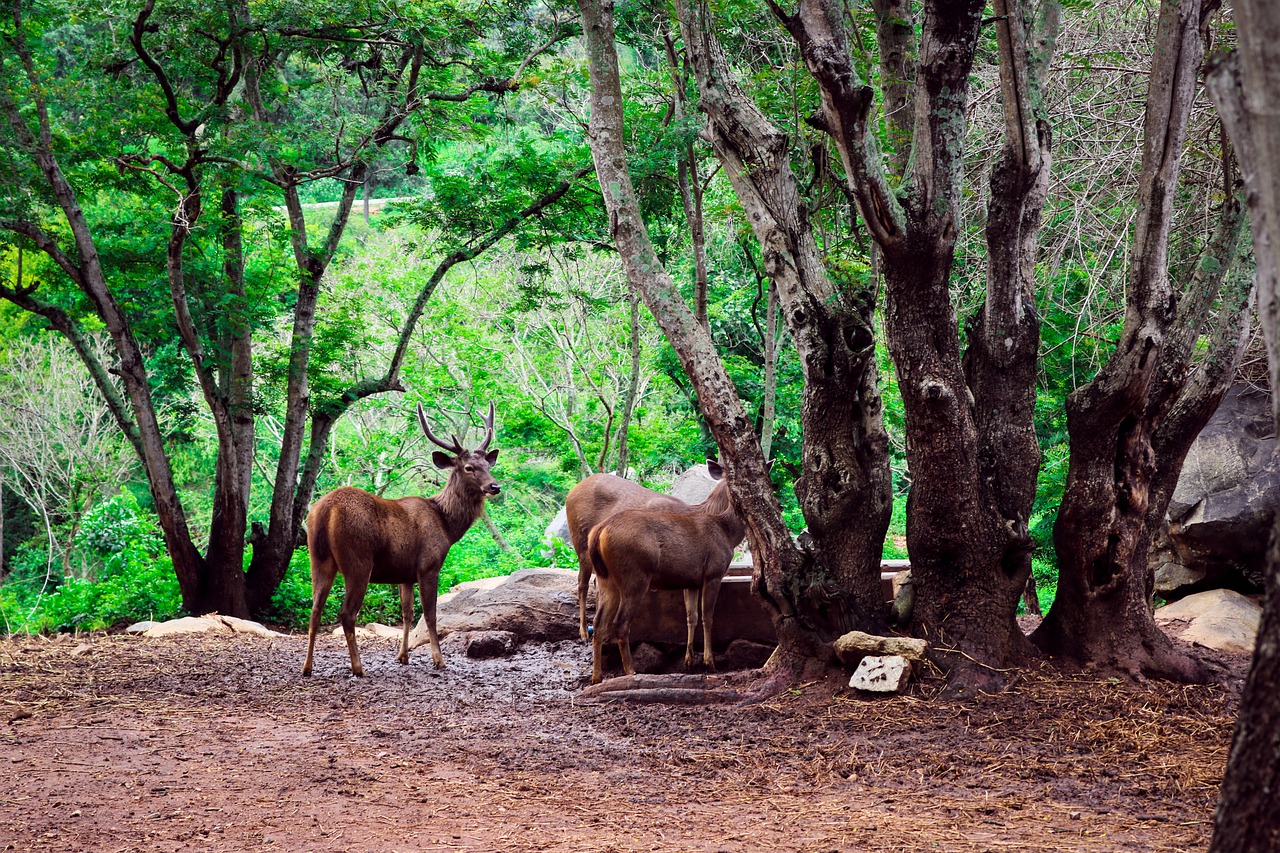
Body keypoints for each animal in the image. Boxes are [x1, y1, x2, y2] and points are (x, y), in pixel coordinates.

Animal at [300, 402, 499, 676]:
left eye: (489, 466)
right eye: (469, 468)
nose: (495, 486)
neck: (446, 526)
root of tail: (326, 509)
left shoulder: (405, 573)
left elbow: (408, 612)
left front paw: (403, 656)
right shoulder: (429, 564)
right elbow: (430, 615)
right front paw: (439, 660)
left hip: (318, 559)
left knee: (315, 610)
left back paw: (307, 667)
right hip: (358, 560)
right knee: (347, 613)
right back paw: (358, 667)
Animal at [586, 458, 747, 686]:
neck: (727, 532)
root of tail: (599, 531)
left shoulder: (691, 581)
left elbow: (691, 617)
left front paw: (689, 662)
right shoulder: (714, 573)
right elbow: (708, 617)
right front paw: (709, 662)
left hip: (606, 578)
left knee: (598, 623)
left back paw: (597, 676)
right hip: (635, 576)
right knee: (621, 623)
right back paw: (631, 671)